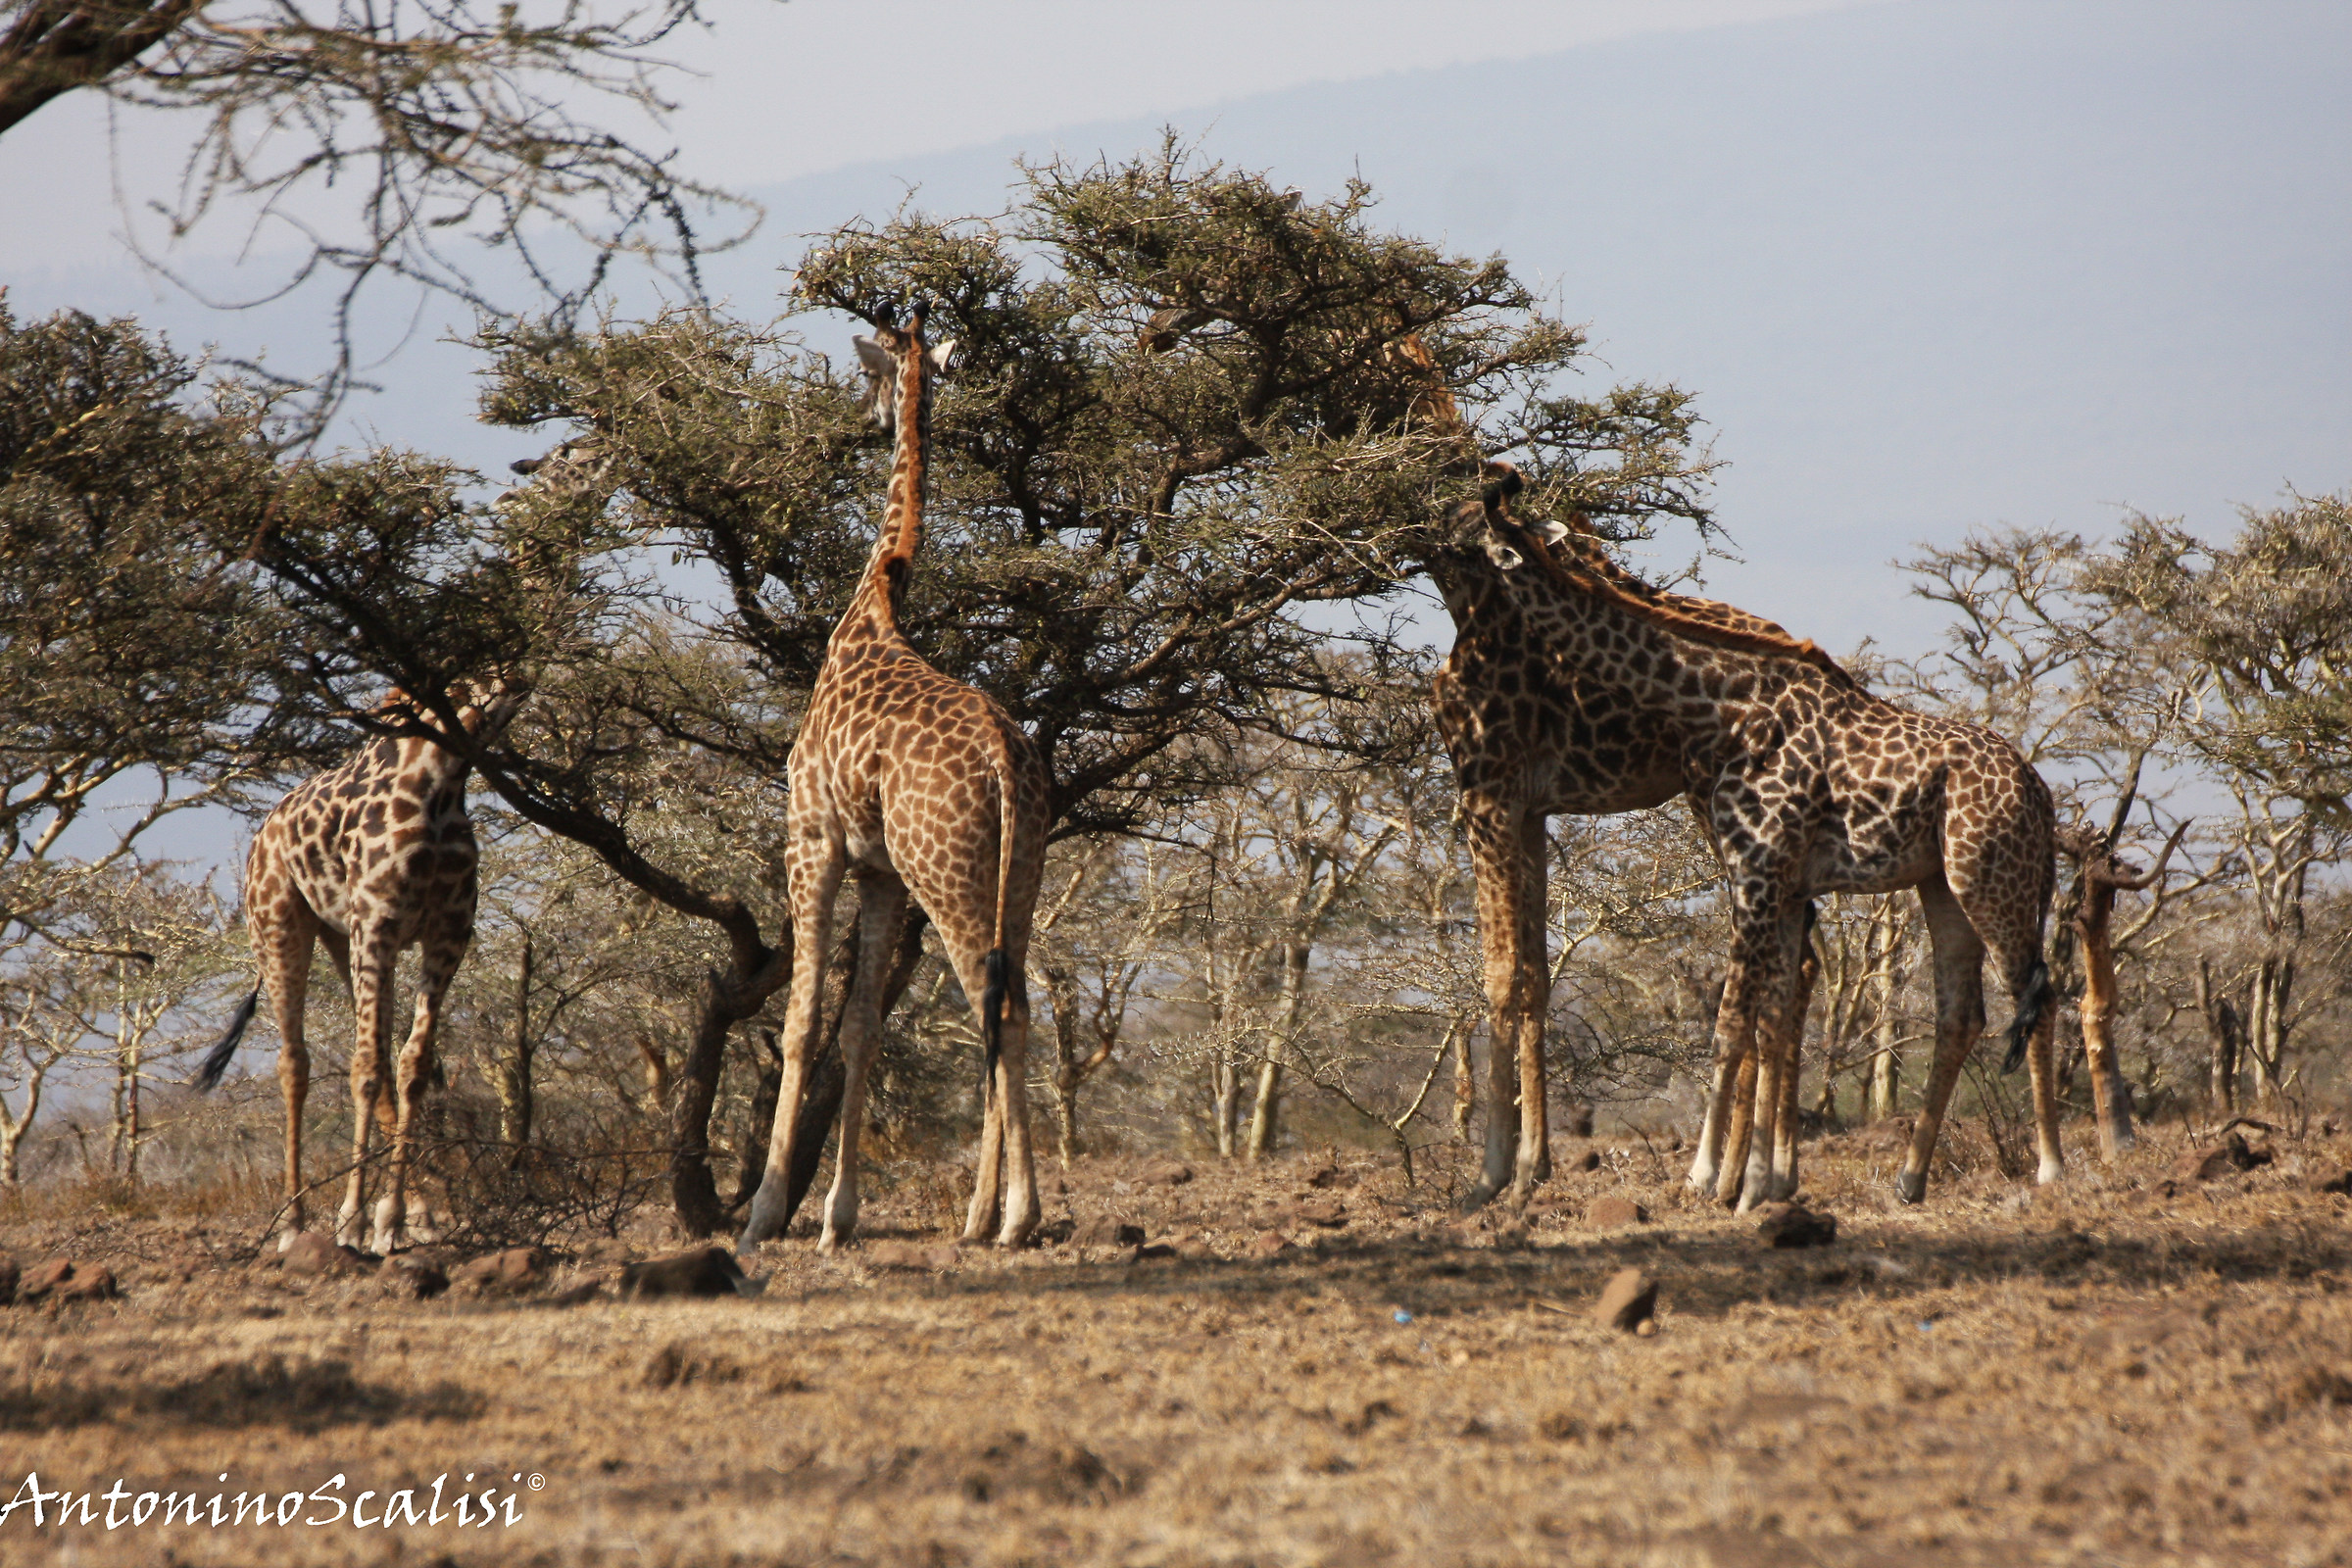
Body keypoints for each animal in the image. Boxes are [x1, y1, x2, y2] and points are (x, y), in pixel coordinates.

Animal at [197, 679, 522, 1251]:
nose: (521, 688)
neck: (441, 775)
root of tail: (263, 834)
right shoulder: (378, 922)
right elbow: (364, 1069)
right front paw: (352, 1220)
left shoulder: (447, 933)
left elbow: (413, 1066)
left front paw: (389, 1218)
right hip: (280, 928)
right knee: (295, 1063)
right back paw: (294, 1221)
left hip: (340, 938)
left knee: (380, 1058)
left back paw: (417, 1214)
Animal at [738, 303, 1051, 1253]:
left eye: (866, 368)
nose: (867, 415)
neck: (872, 601)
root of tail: (1005, 765)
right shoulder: (879, 871)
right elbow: (864, 1031)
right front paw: (839, 1218)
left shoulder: (812, 840)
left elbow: (803, 1023)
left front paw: (766, 1214)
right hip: (1016, 873)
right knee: (1014, 1009)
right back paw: (987, 1217)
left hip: (947, 876)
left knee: (1000, 1009)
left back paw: (1014, 1219)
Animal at [1422, 467, 2063, 1212]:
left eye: (1477, 528)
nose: (1430, 528)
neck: (1716, 702)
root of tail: (2041, 795)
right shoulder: (1773, 877)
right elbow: (1768, 1016)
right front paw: (1757, 1184)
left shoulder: (1756, 867)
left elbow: (1731, 1023)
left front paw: (1706, 1177)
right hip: (1943, 885)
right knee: (1963, 1013)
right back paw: (1908, 1179)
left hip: (1992, 879)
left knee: (2037, 991)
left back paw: (2052, 1168)